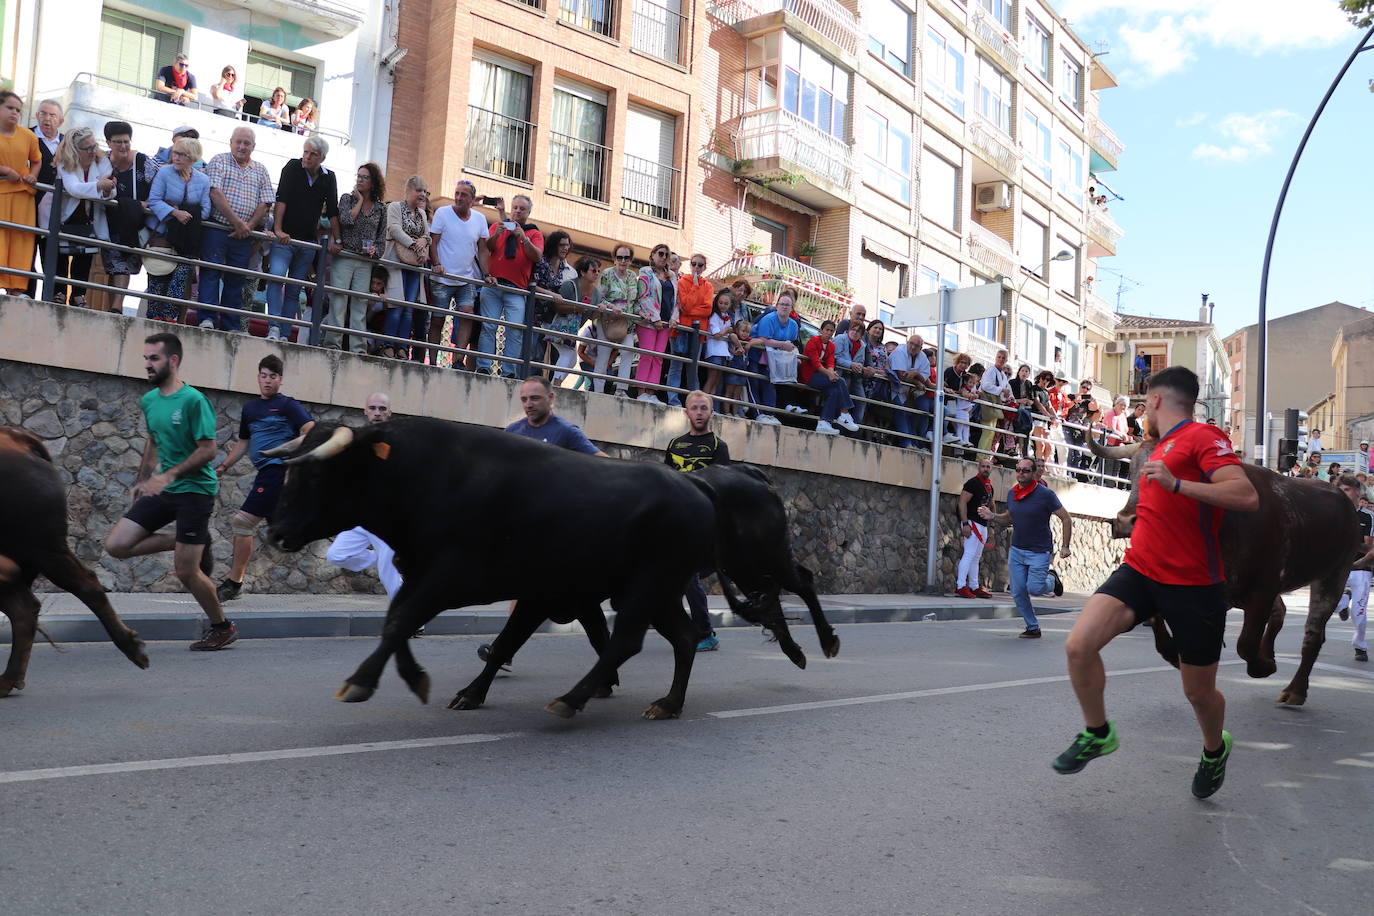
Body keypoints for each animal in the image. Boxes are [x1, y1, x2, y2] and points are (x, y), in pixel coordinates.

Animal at [0, 425, 147, 697]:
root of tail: (17, 439)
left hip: (43, 549)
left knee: (86, 586)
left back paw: (134, 650)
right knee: (23, 609)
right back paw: (8, 680)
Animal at [262, 420, 835, 719]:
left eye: (317, 475)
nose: (275, 530)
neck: (430, 476)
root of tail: (699, 486)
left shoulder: (454, 578)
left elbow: (403, 623)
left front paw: (364, 681)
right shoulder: (510, 589)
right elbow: (422, 628)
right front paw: (456, 688)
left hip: (670, 581)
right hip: (658, 588)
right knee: (683, 637)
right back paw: (668, 703)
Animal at [1088, 433, 1357, 708]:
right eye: (1132, 470)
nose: (1126, 521)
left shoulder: (1263, 588)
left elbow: (1245, 644)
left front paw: (1264, 666)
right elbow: (1157, 623)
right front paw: (1175, 654)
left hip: (1333, 576)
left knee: (1312, 635)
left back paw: (1295, 690)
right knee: (1282, 613)